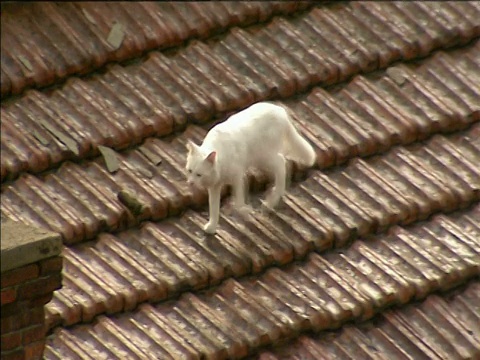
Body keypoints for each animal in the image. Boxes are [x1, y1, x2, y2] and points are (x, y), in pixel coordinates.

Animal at [186, 102, 316, 235]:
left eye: (199, 175)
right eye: (190, 171)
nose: (190, 182)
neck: (221, 159)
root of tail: (281, 111)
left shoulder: (237, 178)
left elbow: (238, 203)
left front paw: (245, 211)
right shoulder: (214, 187)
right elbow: (213, 209)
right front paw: (212, 227)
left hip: (263, 158)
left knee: (281, 163)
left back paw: (272, 200)